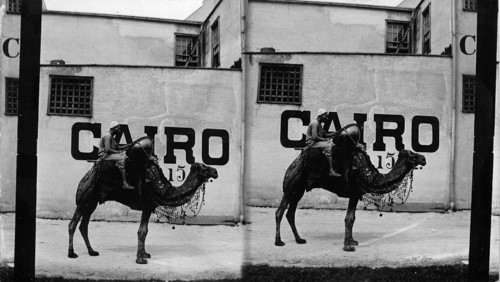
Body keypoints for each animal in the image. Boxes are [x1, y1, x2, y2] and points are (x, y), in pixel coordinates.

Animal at [67, 137, 218, 264]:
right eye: (204, 167)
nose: (215, 171)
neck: (163, 189)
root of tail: (87, 175)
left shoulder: (148, 207)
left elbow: (145, 231)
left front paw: (145, 254)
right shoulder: (147, 205)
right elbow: (142, 231)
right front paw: (140, 259)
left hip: (92, 202)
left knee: (83, 226)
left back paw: (92, 251)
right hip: (84, 199)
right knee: (73, 224)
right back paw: (72, 253)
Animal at [276, 123, 428, 251]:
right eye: (412, 155)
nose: (423, 158)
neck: (370, 175)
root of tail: (293, 164)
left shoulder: (356, 194)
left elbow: (352, 218)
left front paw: (353, 241)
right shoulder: (354, 192)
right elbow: (348, 219)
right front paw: (348, 247)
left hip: (299, 189)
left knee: (290, 213)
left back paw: (299, 239)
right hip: (292, 185)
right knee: (280, 211)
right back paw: (279, 242)